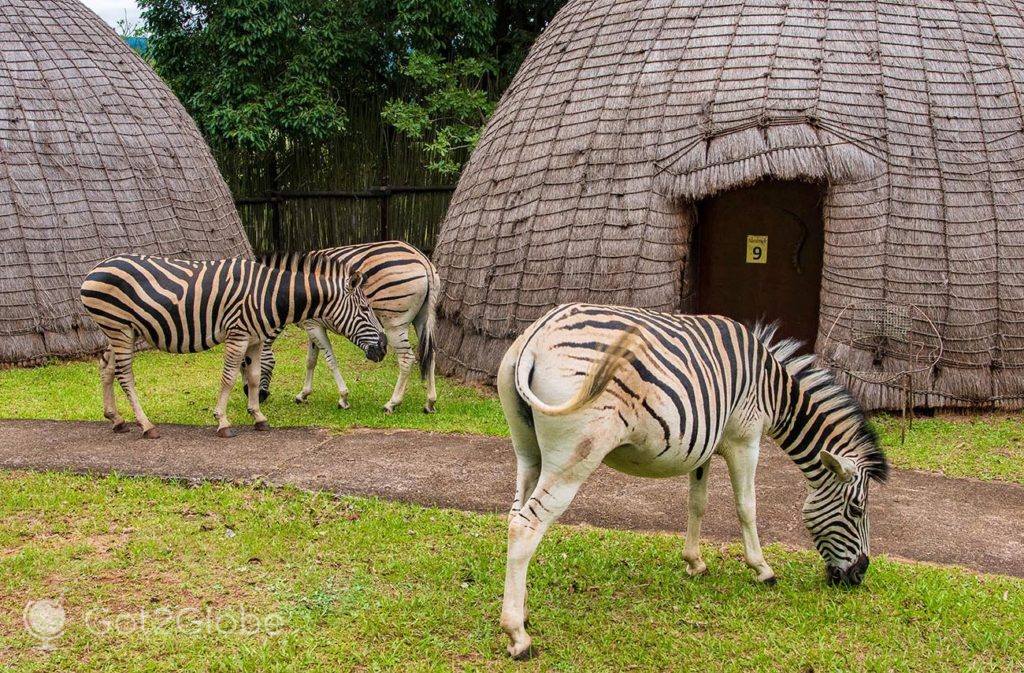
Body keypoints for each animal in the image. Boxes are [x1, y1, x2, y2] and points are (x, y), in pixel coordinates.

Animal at [80, 250, 387, 436]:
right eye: (364, 309)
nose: (383, 347)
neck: (270, 295)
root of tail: (94, 269)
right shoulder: (237, 334)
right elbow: (228, 377)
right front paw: (223, 421)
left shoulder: (255, 339)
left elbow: (252, 376)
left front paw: (258, 416)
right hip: (119, 328)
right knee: (125, 375)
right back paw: (145, 425)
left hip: (120, 331)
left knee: (106, 367)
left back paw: (116, 419)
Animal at [248, 238, 444, 411]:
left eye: (246, 363)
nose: (258, 397)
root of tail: (422, 258)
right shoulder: (312, 324)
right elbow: (311, 360)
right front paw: (303, 394)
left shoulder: (313, 325)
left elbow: (330, 360)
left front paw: (343, 398)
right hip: (423, 318)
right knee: (431, 354)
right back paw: (430, 402)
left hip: (394, 322)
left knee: (407, 358)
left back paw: (392, 403)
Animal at [495, 301, 888, 659]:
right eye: (856, 510)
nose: (859, 576)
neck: (773, 390)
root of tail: (537, 335)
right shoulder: (745, 439)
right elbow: (747, 506)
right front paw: (762, 569)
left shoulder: (704, 445)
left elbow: (697, 503)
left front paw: (694, 563)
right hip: (574, 456)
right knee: (527, 526)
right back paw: (517, 637)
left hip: (529, 452)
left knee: (515, 516)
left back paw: (524, 613)